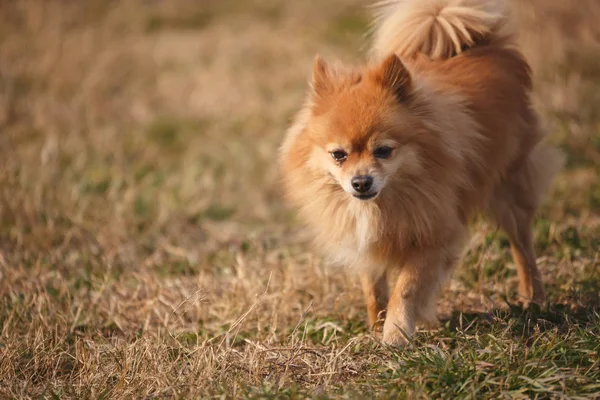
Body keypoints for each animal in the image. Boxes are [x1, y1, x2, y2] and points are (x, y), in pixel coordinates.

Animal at [278, 0, 564, 344]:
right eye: (339, 155)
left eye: (383, 151)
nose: (360, 182)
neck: (384, 202)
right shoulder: (364, 240)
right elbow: (373, 288)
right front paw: (376, 325)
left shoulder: (434, 235)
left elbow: (406, 287)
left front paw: (395, 334)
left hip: (511, 188)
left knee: (522, 246)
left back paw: (534, 299)